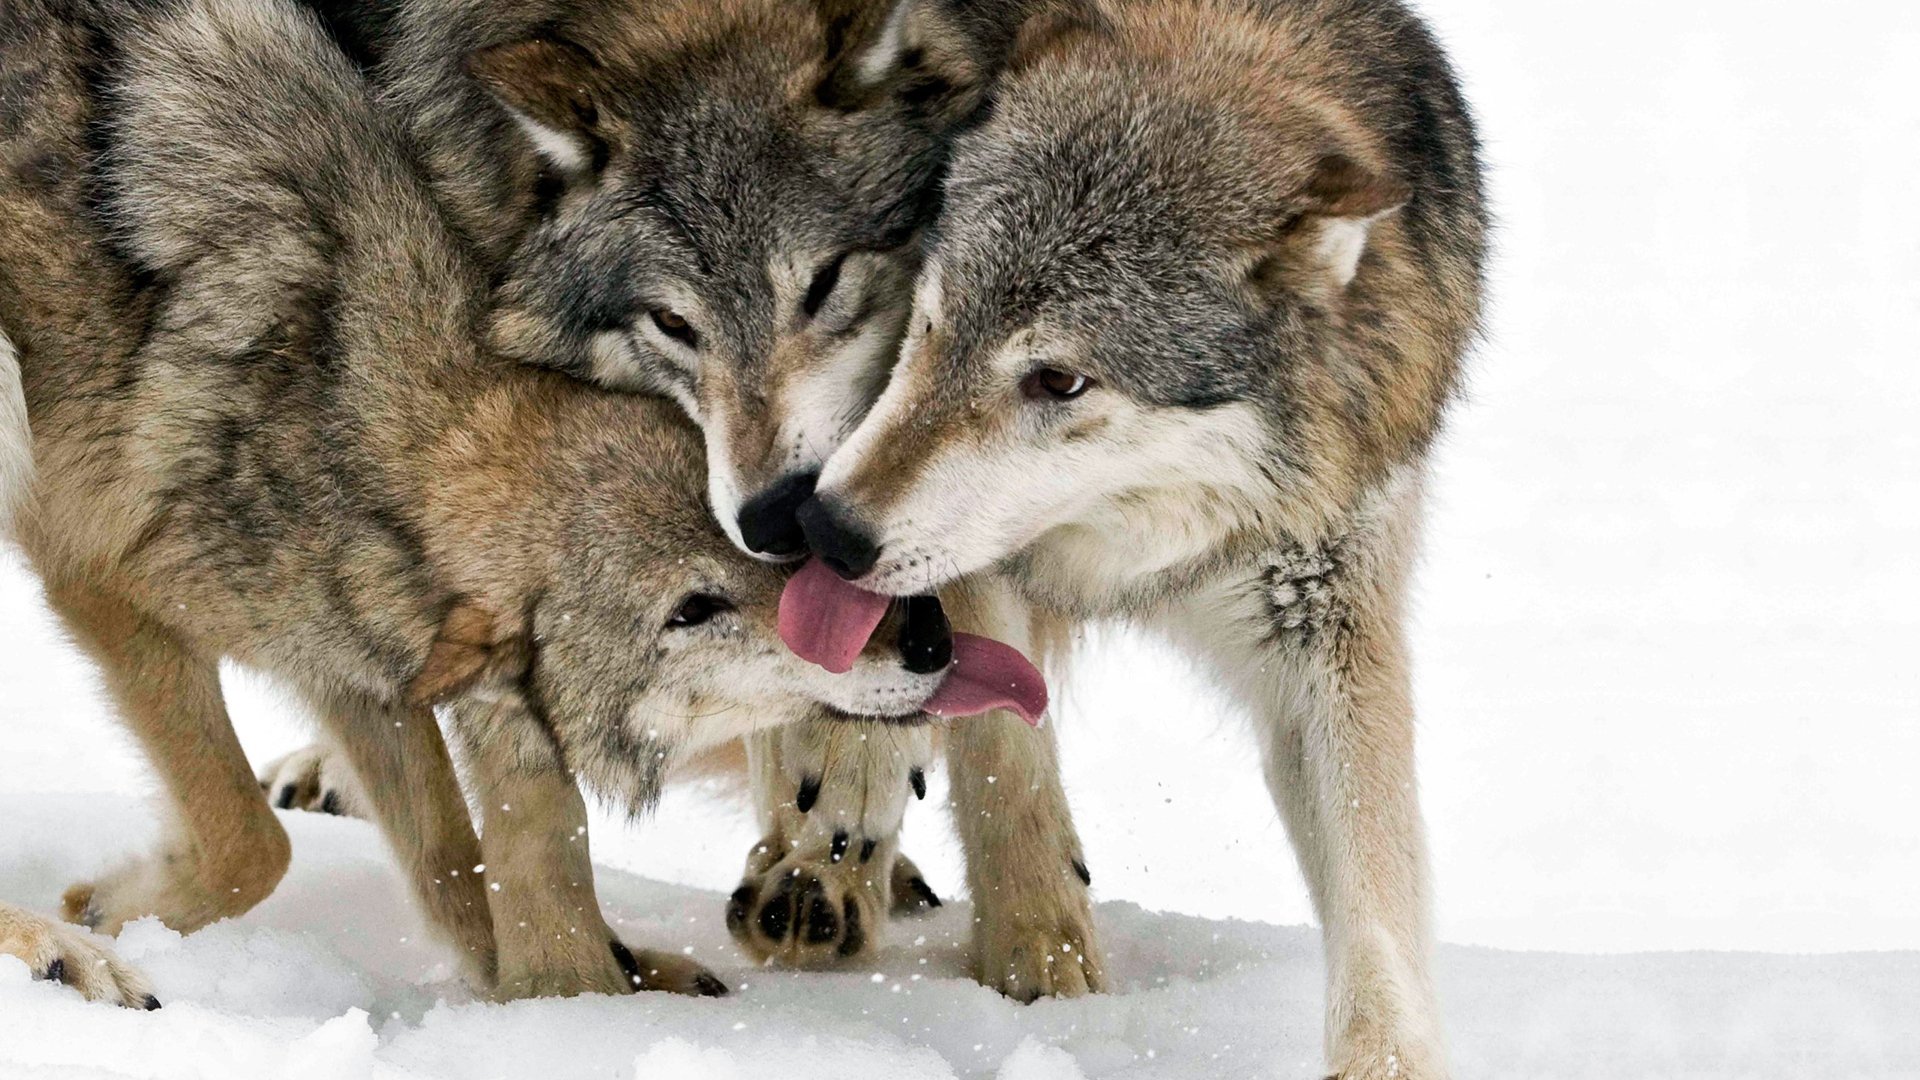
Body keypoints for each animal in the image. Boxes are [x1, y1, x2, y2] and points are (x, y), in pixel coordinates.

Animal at [0, 0, 967, 1006]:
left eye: (784, 554)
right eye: (692, 611)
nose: (929, 636)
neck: (348, 402)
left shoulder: (360, 662)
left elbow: (454, 862)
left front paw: (571, 986)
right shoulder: (103, 589)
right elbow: (252, 842)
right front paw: (107, 907)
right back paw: (54, 952)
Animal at [782, 0, 1490, 1075]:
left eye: (1060, 381)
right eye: (932, 322)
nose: (828, 529)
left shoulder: (1327, 613)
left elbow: (1377, 890)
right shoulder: (972, 566)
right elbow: (1006, 759)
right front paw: (1040, 963)